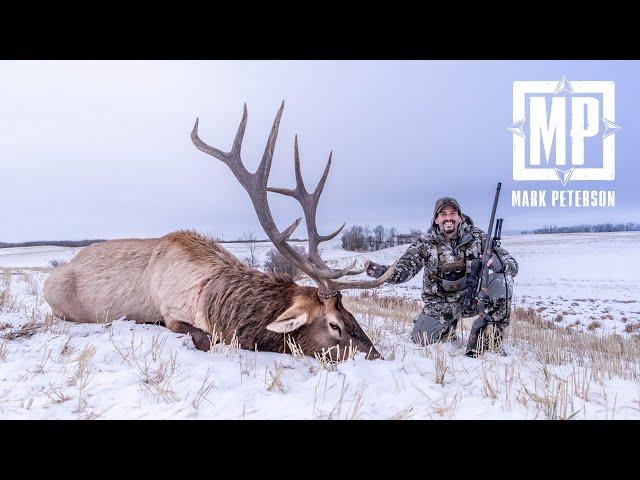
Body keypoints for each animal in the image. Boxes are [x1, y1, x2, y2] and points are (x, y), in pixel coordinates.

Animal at [43, 102, 396, 360]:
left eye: (353, 316)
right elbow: (206, 340)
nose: (378, 357)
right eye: (335, 325)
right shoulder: (171, 313)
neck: (214, 300)